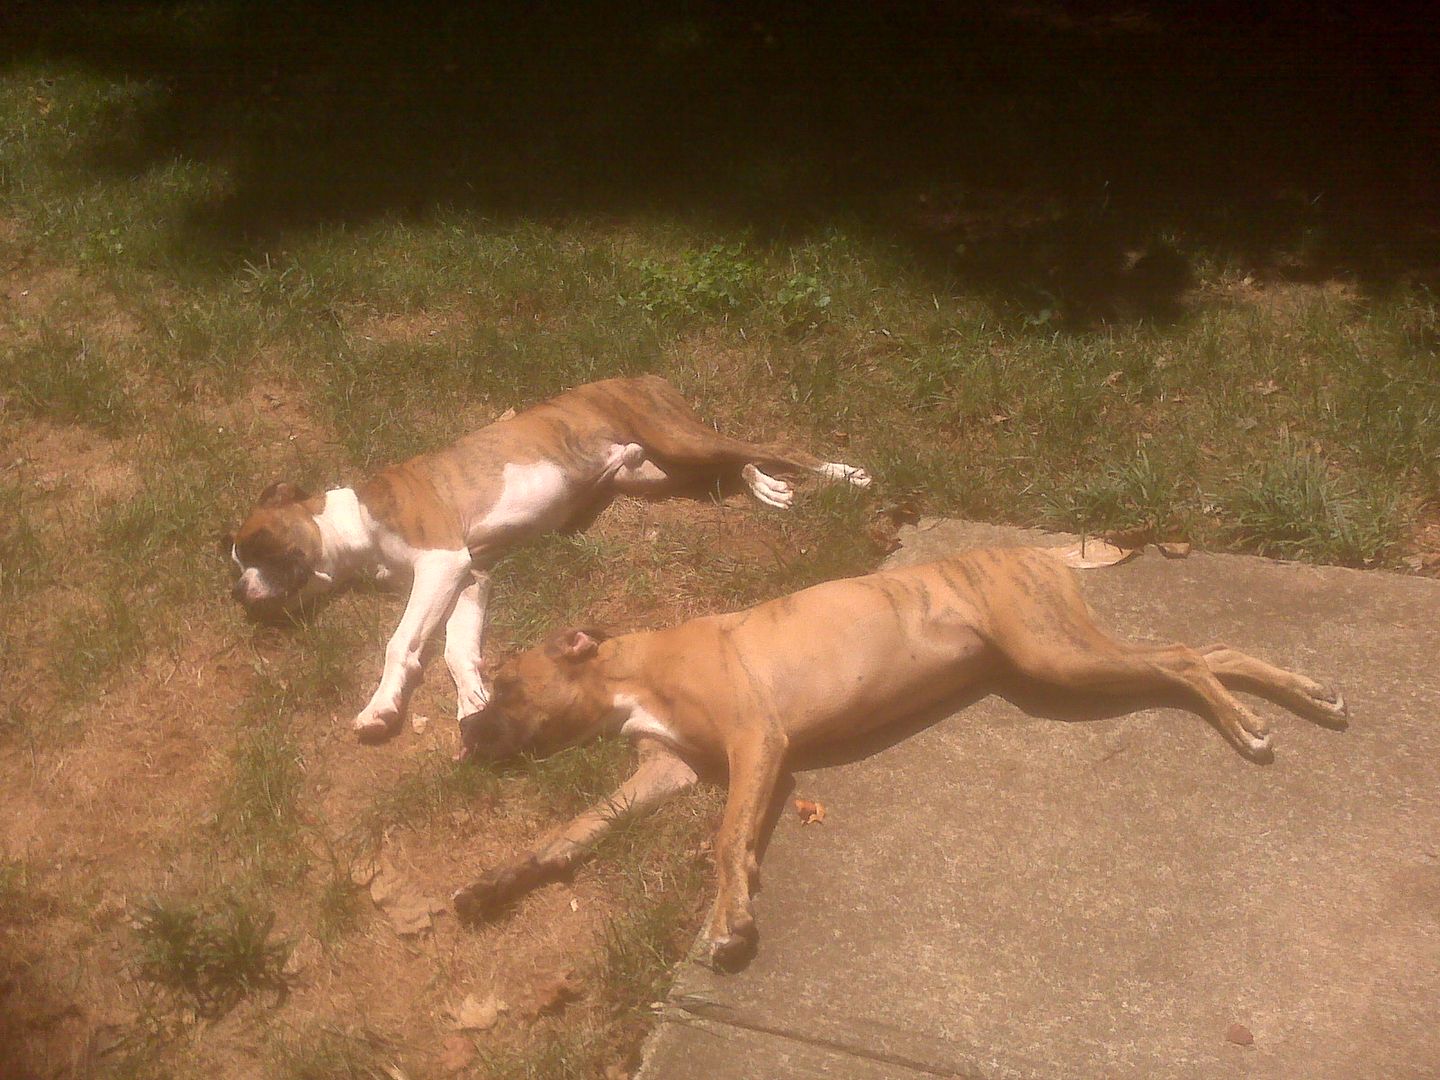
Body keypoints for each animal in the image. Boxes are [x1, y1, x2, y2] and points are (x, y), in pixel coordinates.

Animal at [224, 374, 864, 743]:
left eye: (254, 546)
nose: (239, 593)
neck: (355, 522)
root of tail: (636, 373)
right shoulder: (469, 576)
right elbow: (457, 650)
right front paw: (474, 702)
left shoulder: (441, 563)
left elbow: (400, 641)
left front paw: (381, 708)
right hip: (658, 471)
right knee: (731, 467)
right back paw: (766, 488)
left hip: (677, 438)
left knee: (771, 447)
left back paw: (842, 473)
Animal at [452, 550, 1347, 973]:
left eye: (506, 685)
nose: (465, 734)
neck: (628, 670)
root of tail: (1034, 552)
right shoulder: (663, 772)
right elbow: (569, 833)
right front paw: (495, 884)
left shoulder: (755, 742)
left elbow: (726, 839)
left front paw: (730, 917)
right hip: (1061, 651)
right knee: (1207, 648)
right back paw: (1303, 692)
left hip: (1055, 652)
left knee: (1184, 658)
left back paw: (1247, 722)